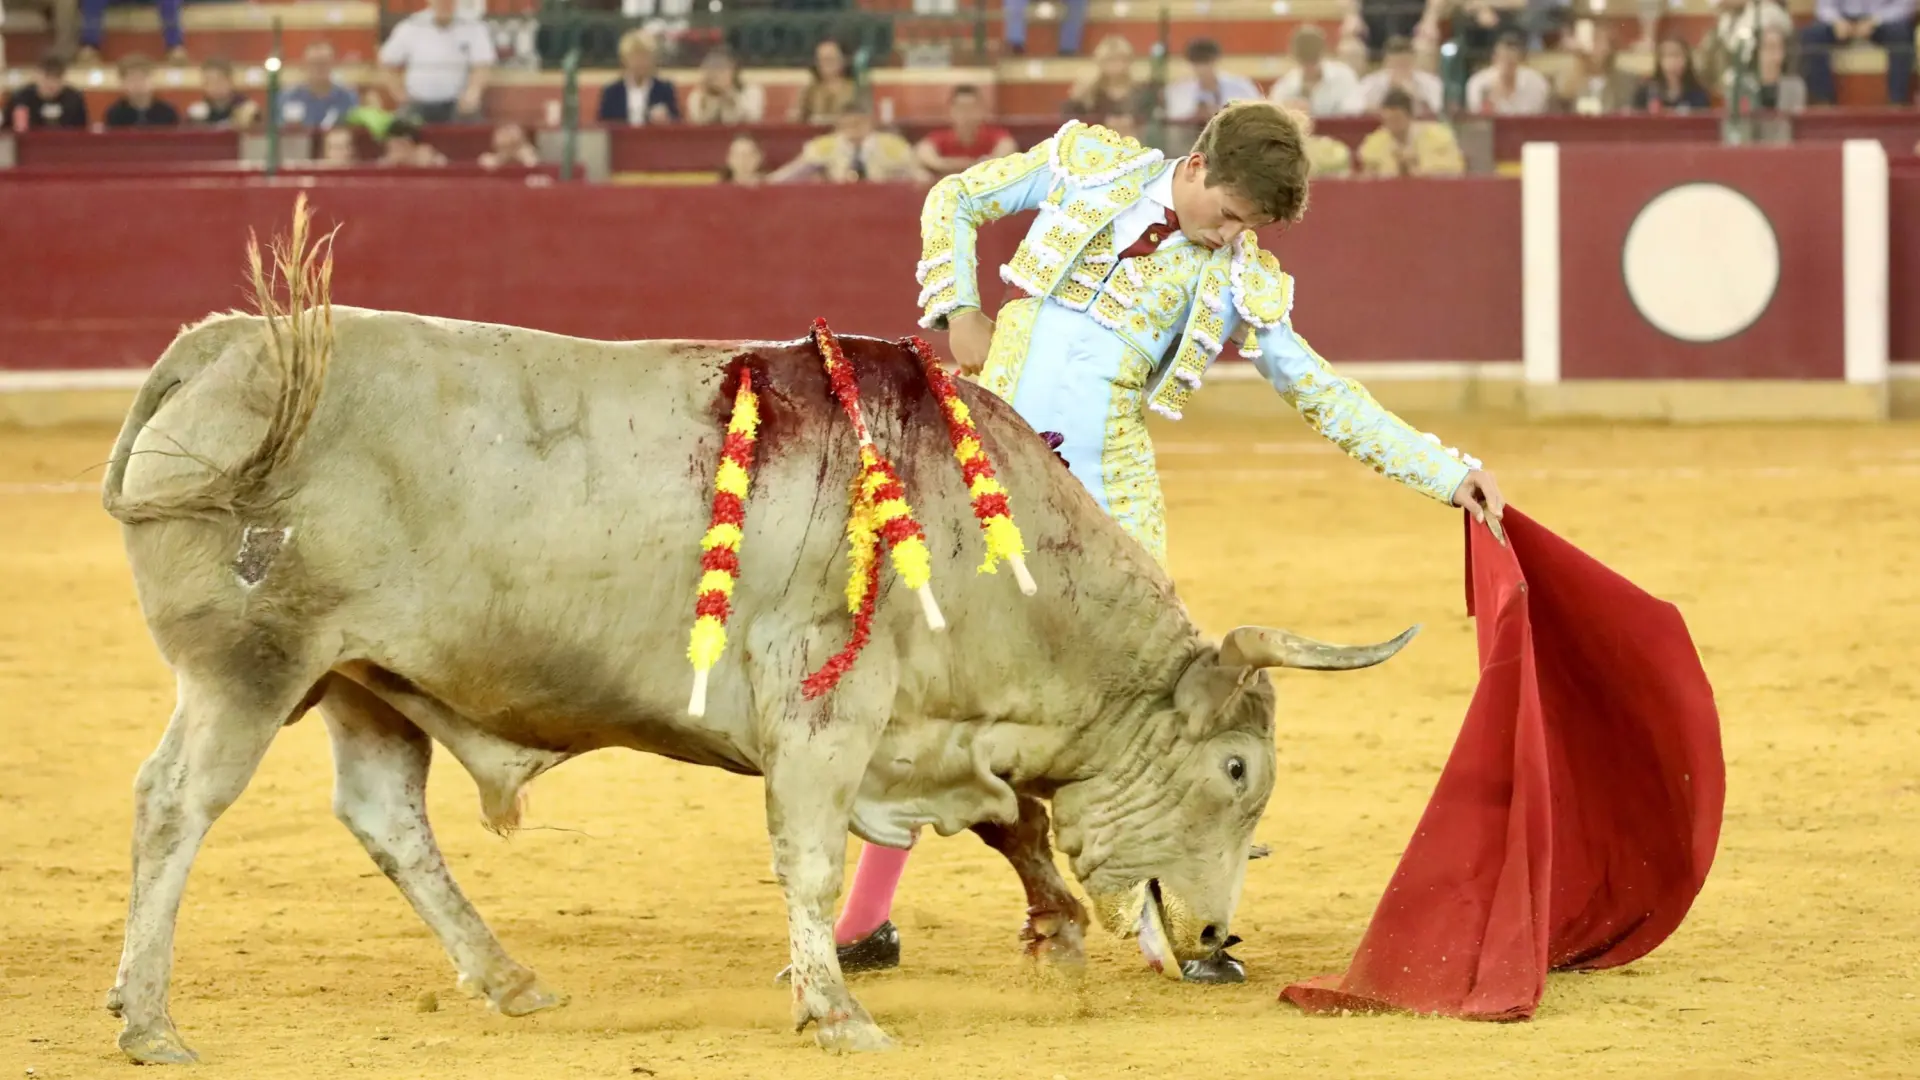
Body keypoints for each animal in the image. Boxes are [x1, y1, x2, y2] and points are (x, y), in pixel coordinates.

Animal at [97, 201, 1420, 1060]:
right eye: (1238, 771)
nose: (1217, 933)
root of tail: (224, 343)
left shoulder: (927, 735)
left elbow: (1015, 823)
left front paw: (1047, 934)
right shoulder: (825, 721)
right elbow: (817, 858)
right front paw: (835, 1010)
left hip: (366, 681)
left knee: (385, 818)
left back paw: (511, 981)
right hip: (251, 668)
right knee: (175, 801)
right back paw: (151, 1019)